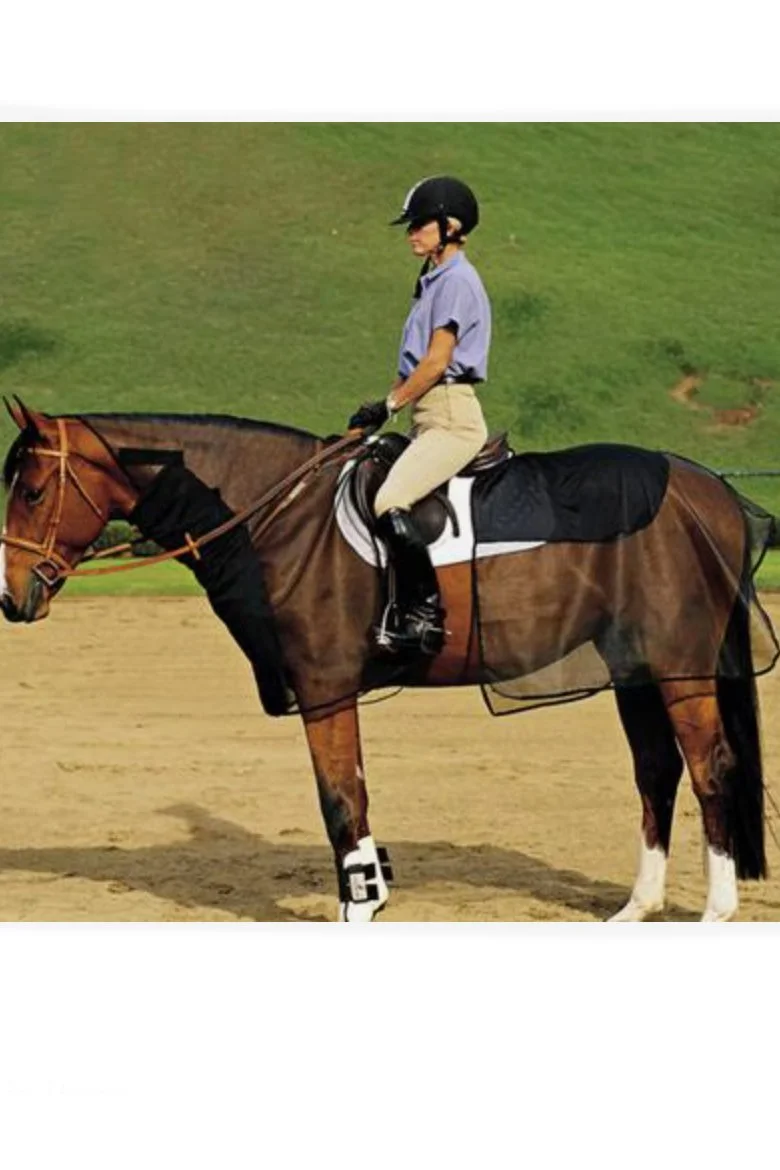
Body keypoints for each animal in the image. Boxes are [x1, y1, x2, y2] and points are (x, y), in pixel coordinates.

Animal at [1, 398, 777, 922]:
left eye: (32, 491)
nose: (11, 597)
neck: (282, 514)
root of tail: (711, 489)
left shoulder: (324, 690)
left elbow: (341, 799)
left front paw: (360, 904)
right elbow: (352, 797)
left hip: (680, 670)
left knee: (711, 770)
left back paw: (716, 910)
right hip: (634, 670)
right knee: (657, 771)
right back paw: (638, 906)